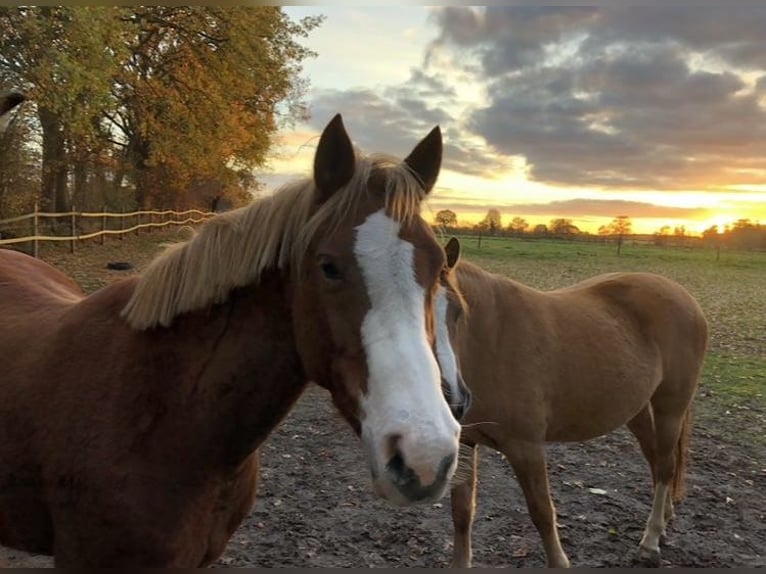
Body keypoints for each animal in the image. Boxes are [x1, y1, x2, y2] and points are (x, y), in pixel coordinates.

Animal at [440, 240, 712, 572]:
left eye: (455, 309)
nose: (450, 395)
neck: (486, 339)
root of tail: (684, 296)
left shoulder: (526, 446)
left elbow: (542, 512)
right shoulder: (466, 440)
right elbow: (462, 513)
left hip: (670, 406)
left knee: (665, 464)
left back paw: (650, 541)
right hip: (636, 411)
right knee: (656, 456)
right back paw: (665, 518)